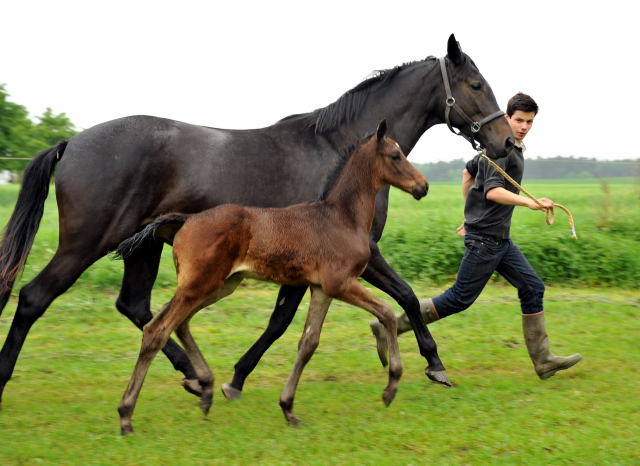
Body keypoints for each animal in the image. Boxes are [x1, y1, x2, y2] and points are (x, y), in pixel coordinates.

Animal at [0, 35, 512, 400]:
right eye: (476, 85)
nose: (507, 141)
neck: (339, 151)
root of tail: (72, 142)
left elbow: (382, 300)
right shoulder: (348, 253)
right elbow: (302, 317)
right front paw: (435, 365)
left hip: (140, 247)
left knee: (136, 307)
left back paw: (192, 375)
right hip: (86, 243)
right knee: (34, 297)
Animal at [117, 121, 428, 434]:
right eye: (395, 156)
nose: (423, 186)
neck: (341, 217)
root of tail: (186, 220)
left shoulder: (321, 289)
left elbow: (308, 343)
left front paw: (288, 408)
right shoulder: (340, 283)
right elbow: (386, 312)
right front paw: (391, 384)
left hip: (220, 285)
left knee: (180, 325)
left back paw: (205, 391)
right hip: (199, 285)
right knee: (157, 330)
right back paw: (127, 414)